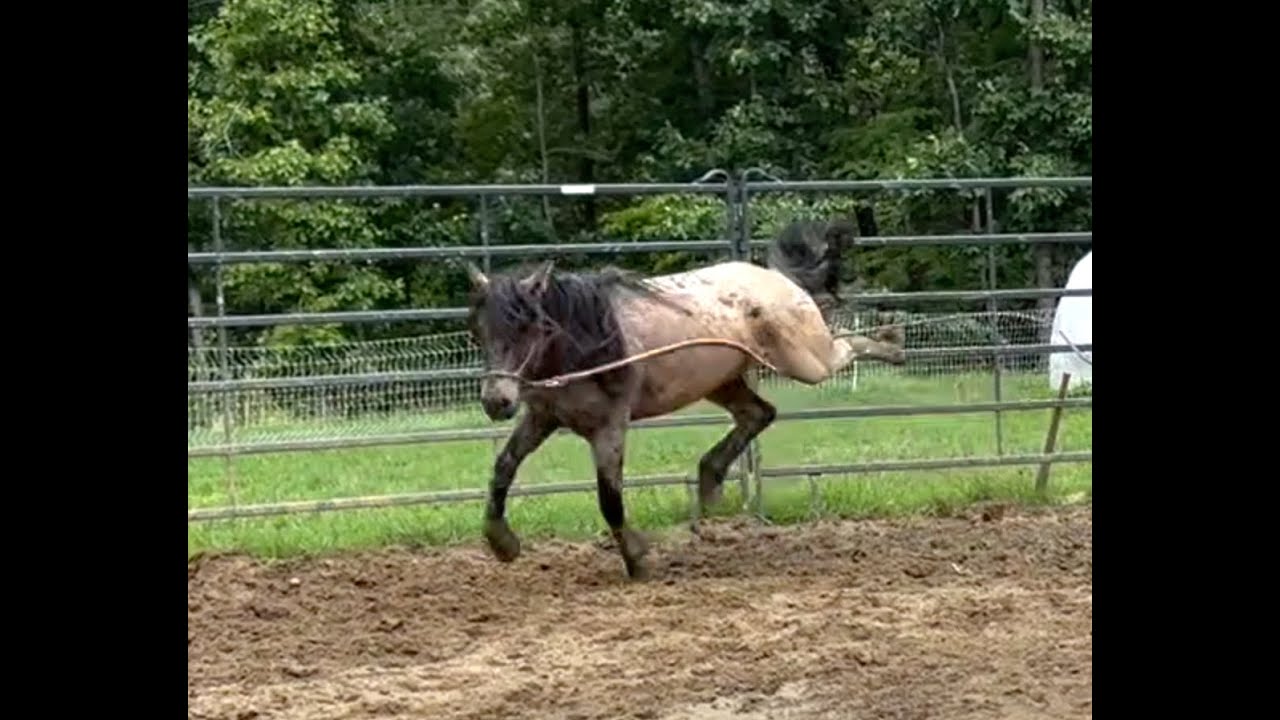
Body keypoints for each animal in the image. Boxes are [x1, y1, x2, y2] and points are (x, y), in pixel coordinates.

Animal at [463, 250, 906, 581]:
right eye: (478, 331)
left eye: (528, 328)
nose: (496, 401)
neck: (589, 344)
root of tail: (778, 278)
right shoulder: (543, 418)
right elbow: (503, 467)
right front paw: (502, 542)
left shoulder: (609, 427)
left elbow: (610, 498)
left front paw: (637, 560)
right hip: (723, 382)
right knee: (759, 413)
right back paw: (710, 481)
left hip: (807, 362)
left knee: (845, 348)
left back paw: (892, 340)